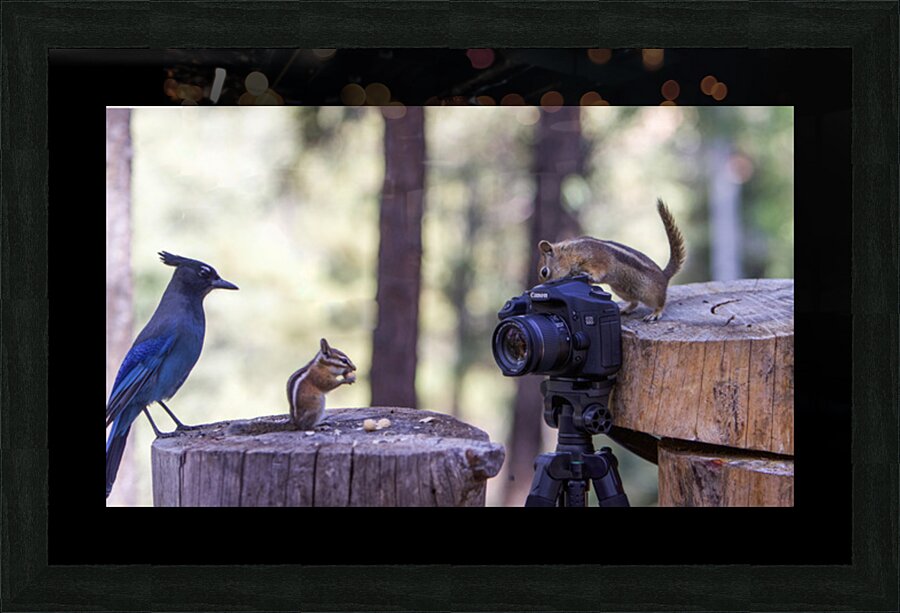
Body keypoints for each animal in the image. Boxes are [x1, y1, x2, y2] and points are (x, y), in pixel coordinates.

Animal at [537, 198, 686, 321]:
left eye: (544, 272)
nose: (543, 287)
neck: (571, 252)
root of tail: (664, 275)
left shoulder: (597, 260)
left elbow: (599, 271)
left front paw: (590, 276)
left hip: (649, 292)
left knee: (660, 302)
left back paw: (655, 313)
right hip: (621, 290)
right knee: (635, 302)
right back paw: (624, 310)